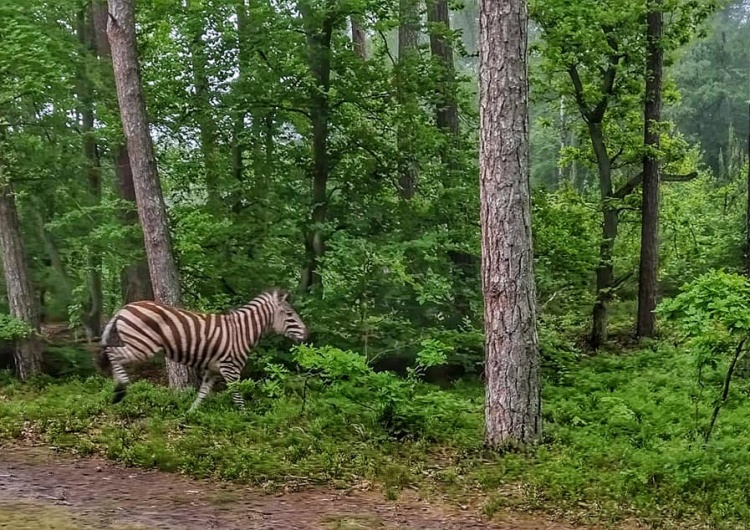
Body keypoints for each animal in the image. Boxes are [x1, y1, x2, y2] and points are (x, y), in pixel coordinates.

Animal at [96, 288, 308, 408]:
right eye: (290, 314)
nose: (307, 333)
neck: (242, 332)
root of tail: (124, 308)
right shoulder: (230, 368)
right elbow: (237, 397)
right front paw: (244, 420)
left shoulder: (212, 370)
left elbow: (202, 395)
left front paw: (189, 416)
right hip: (142, 345)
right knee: (113, 354)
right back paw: (120, 389)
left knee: (111, 353)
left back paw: (117, 391)